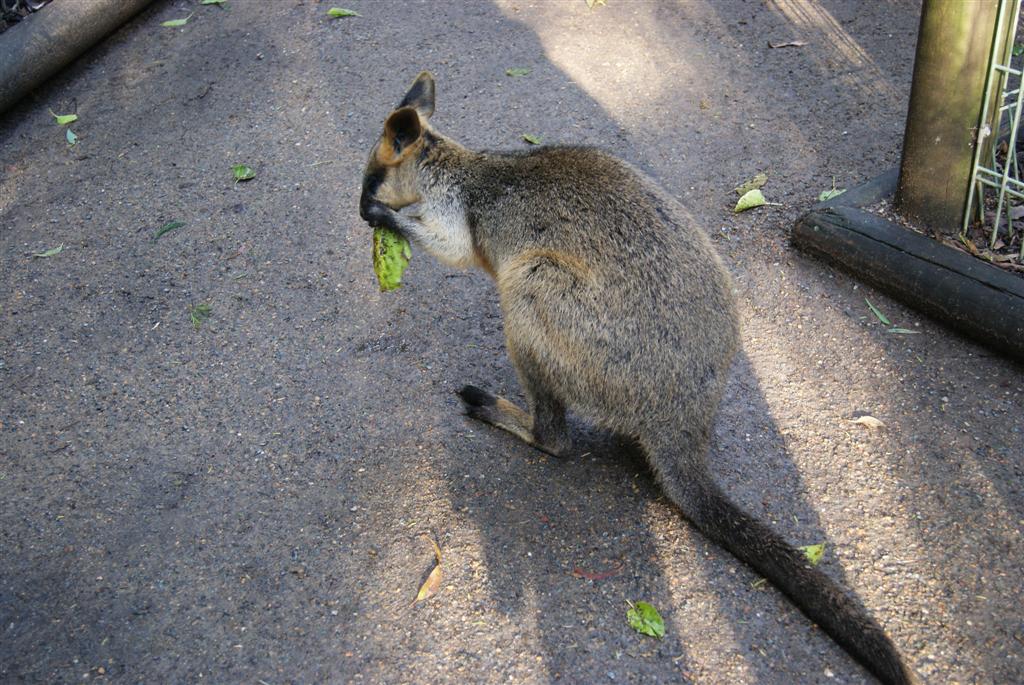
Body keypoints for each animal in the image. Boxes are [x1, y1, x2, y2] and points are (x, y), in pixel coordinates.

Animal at [359, 72, 918, 685]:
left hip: (538, 291)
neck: (456, 166)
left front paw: (390, 222)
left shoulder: (452, 214)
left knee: (556, 438)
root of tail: (680, 422)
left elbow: (450, 246)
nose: (362, 213)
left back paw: (495, 408)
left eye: (372, 178)